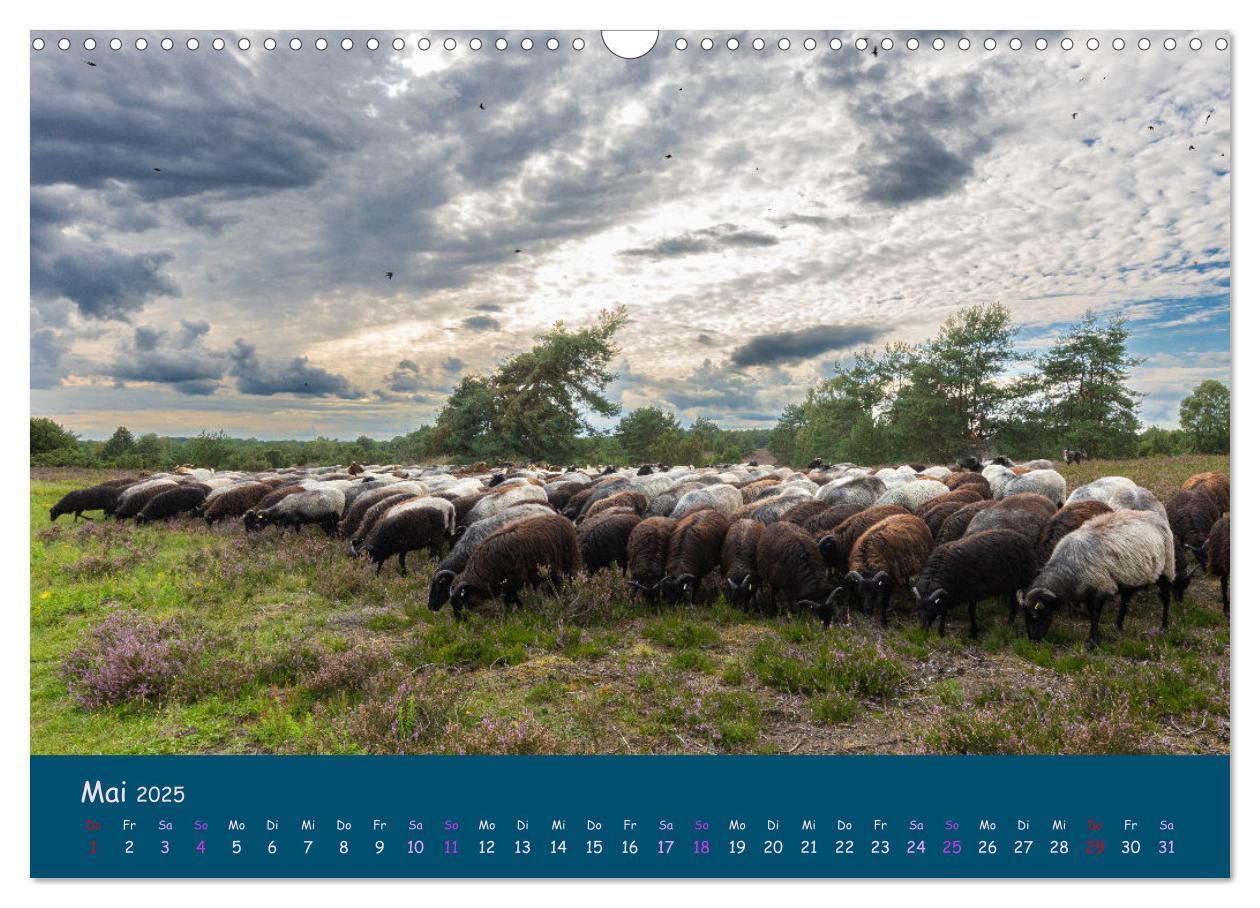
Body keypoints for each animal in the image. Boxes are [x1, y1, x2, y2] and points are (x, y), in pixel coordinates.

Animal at [446, 516, 577, 617]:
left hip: (568, 564)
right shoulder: (508, 586)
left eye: (461, 602)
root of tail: (565, 520)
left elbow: (512, 601)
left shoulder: (512, 583)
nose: (460, 622)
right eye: (452, 603)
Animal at [1018, 506, 1174, 649]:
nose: (1033, 640)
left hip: (1166, 567)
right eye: (1025, 615)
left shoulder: (1101, 587)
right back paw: (1118, 626)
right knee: (1126, 599)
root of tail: (1155, 516)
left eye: (1035, 614)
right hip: (1129, 575)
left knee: (1166, 598)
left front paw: (1093, 642)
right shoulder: (1087, 591)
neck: (1068, 569)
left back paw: (1164, 627)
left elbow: (1094, 615)